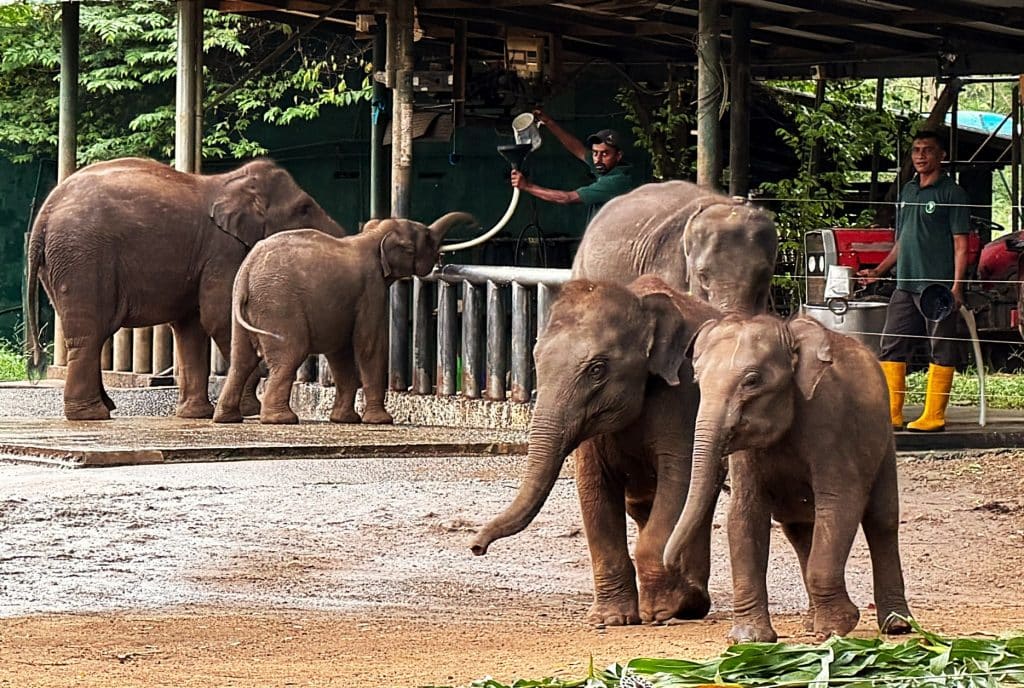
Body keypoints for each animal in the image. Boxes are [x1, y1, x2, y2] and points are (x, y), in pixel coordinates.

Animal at [25, 157, 346, 421]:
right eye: (304, 208)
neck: (233, 181)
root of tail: (43, 217)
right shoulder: (222, 250)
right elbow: (220, 318)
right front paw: (248, 410)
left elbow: (191, 327)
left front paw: (195, 415)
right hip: (82, 257)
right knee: (89, 334)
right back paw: (91, 415)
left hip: (64, 264)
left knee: (93, 333)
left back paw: (102, 409)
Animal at [212, 212, 477, 426]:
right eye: (426, 239)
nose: (475, 221)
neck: (372, 236)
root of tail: (247, 273)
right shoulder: (371, 289)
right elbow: (369, 346)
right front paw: (381, 421)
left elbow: (340, 353)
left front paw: (344, 419)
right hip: (279, 306)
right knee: (290, 355)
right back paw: (281, 419)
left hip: (249, 308)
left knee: (241, 360)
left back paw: (227, 418)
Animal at [471, 276, 722, 625]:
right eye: (536, 359)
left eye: (597, 369)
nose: (476, 547)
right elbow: (593, 488)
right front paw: (611, 619)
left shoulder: (686, 398)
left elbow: (678, 481)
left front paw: (661, 612)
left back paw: (688, 604)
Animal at [664, 314, 913, 643]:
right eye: (697, 380)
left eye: (752, 380)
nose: (669, 565)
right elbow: (743, 515)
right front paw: (749, 638)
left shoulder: (831, 422)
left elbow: (840, 503)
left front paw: (836, 628)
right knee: (800, 531)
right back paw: (810, 623)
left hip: (883, 438)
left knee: (880, 520)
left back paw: (897, 625)